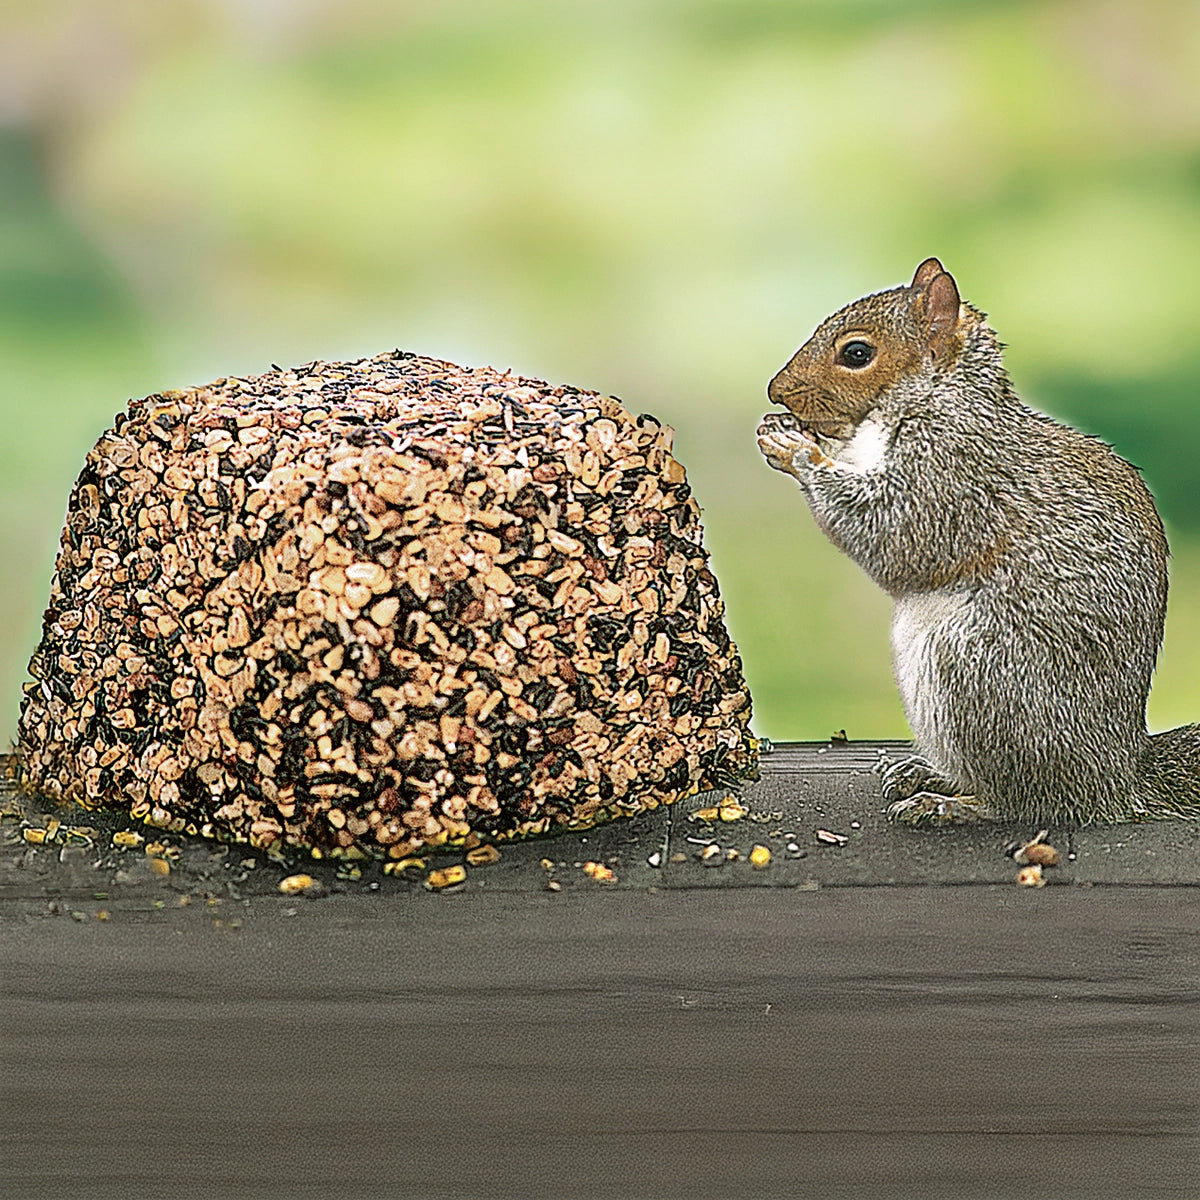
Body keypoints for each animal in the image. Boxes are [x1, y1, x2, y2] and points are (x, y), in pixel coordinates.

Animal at [757, 258, 1200, 825]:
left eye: (857, 353)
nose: (777, 392)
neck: (938, 397)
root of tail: (1116, 778)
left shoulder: (956, 472)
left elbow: (897, 534)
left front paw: (797, 450)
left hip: (980, 678)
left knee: (1023, 802)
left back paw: (948, 804)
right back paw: (924, 774)